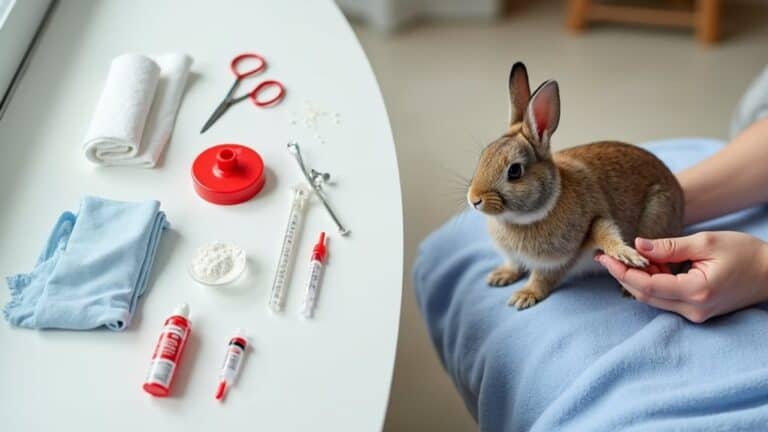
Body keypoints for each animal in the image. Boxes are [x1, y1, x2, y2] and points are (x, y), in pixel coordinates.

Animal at [466, 62, 684, 310]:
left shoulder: (561, 257)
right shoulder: (514, 256)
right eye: (483, 156)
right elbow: (514, 263)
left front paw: (524, 296)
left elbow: (545, 276)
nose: (474, 199)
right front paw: (500, 276)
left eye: (514, 171)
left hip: (658, 212)